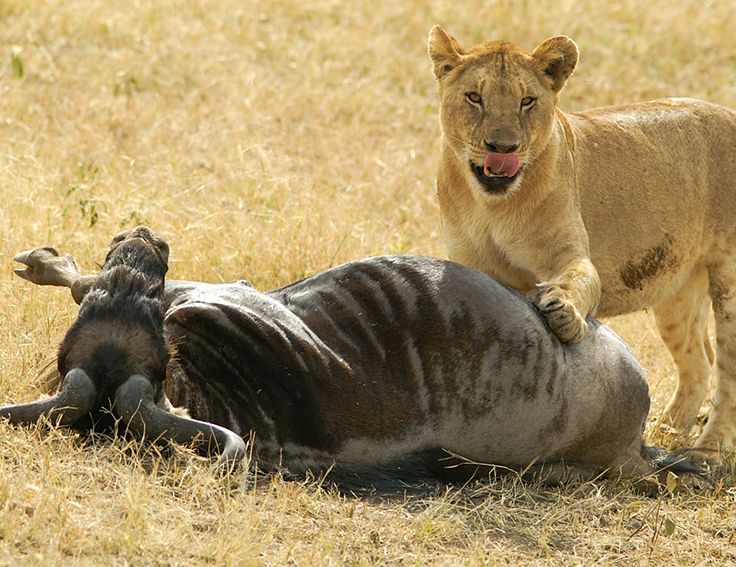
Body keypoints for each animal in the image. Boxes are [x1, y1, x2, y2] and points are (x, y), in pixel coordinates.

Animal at [3, 227, 699, 490]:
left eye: (138, 301)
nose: (141, 237)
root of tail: (630, 453)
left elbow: (78, 282)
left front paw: (48, 263)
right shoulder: (202, 297)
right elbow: (84, 281)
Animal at [427, 25, 736, 449]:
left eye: (527, 101)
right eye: (475, 97)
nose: (502, 147)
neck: (492, 205)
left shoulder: (569, 251)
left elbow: (579, 281)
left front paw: (563, 314)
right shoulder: (470, 262)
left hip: (729, 282)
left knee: (727, 373)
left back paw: (707, 451)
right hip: (679, 290)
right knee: (698, 364)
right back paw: (665, 432)